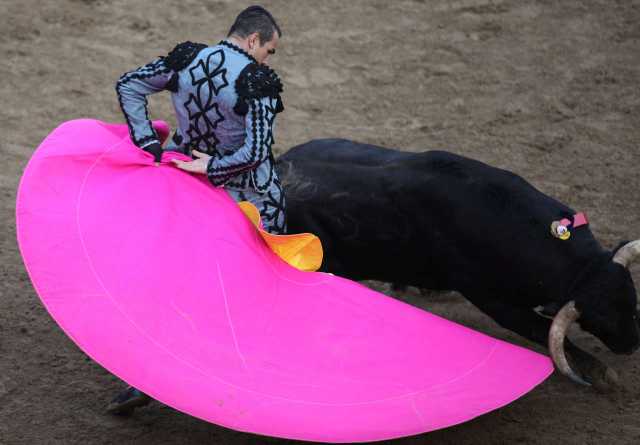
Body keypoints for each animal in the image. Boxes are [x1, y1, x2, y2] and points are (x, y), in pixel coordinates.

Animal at [276, 137, 640, 386]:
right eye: (599, 318)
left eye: (632, 300)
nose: (631, 344)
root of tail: (283, 160)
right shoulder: (490, 298)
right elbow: (542, 330)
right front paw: (603, 374)